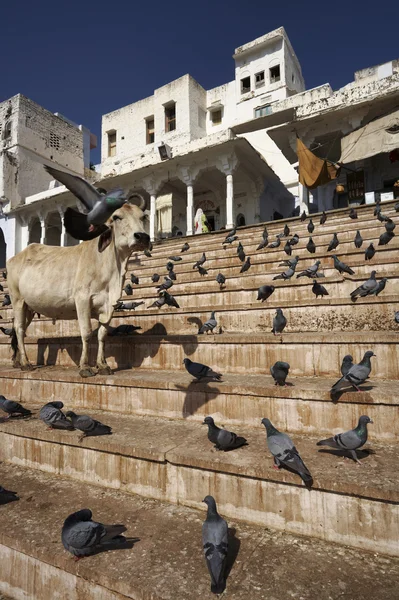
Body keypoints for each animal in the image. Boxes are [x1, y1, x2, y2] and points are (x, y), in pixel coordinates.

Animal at [7, 203, 151, 380]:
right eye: (117, 217)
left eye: (143, 217)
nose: (142, 237)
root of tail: (16, 257)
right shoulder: (82, 300)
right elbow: (87, 333)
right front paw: (85, 367)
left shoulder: (108, 306)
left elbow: (102, 334)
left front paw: (103, 365)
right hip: (18, 300)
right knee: (20, 329)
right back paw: (26, 363)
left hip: (29, 307)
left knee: (18, 329)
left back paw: (17, 361)